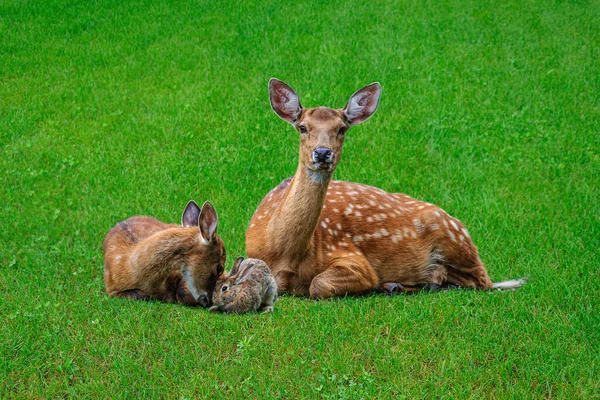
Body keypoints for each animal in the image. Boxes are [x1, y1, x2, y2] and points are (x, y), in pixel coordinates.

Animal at [244, 78, 524, 298]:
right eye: (302, 127)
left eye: (342, 129)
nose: (323, 153)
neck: (283, 254)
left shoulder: (354, 259)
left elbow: (319, 284)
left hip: (456, 241)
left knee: (480, 281)